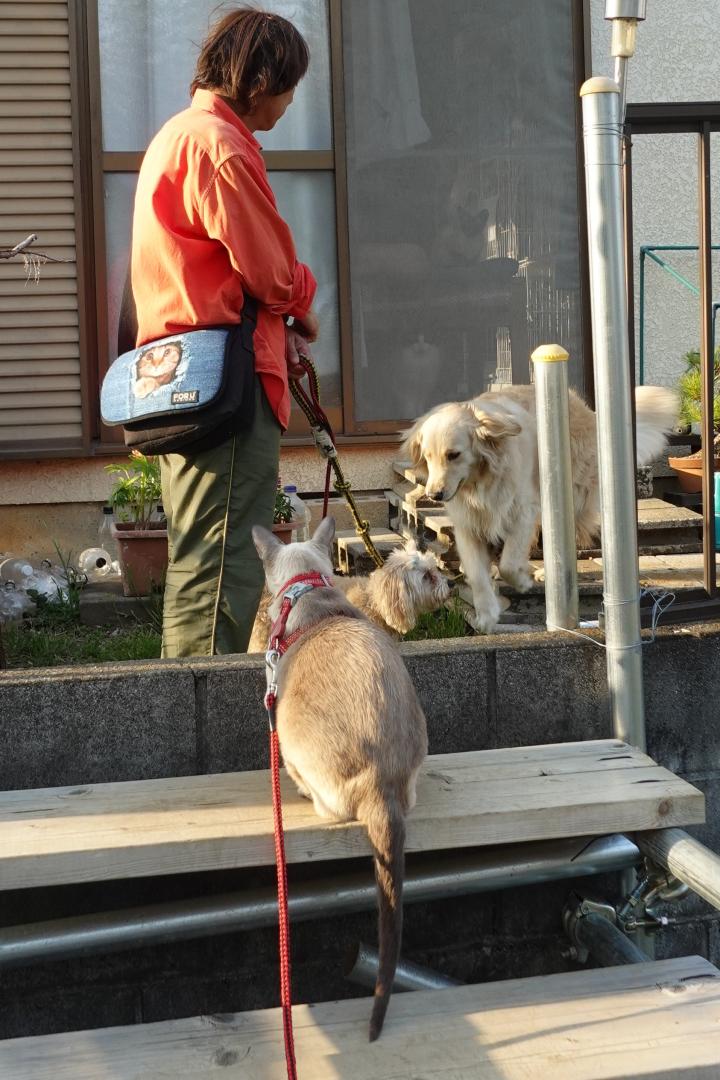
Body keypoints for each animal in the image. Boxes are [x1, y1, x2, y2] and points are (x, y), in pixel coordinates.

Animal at [402, 384, 678, 634]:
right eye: (427, 457)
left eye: (454, 455)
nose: (434, 494)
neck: (482, 480)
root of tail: (584, 408)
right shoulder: (468, 525)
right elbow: (477, 575)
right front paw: (487, 614)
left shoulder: (522, 511)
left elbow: (509, 562)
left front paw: (521, 581)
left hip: (564, 495)